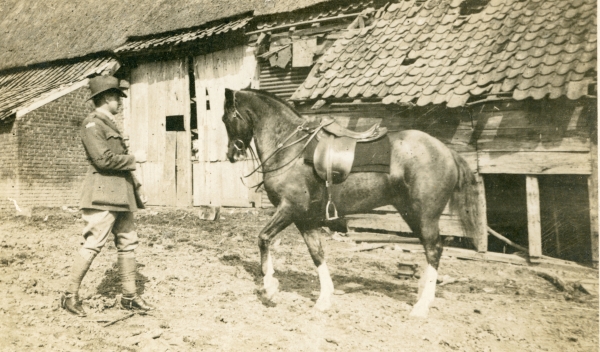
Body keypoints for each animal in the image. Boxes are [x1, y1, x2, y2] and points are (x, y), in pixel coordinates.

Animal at [221, 88, 482, 320]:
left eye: (228, 118)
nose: (231, 154)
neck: (292, 148)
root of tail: (446, 151)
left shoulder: (289, 209)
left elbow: (263, 238)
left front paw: (269, 286)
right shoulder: (305, 219)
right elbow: (317, 254)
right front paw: (324, 299)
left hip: (425, 215)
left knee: (434, 250)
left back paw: (421, 306)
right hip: (411, 213)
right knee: (430, 249)